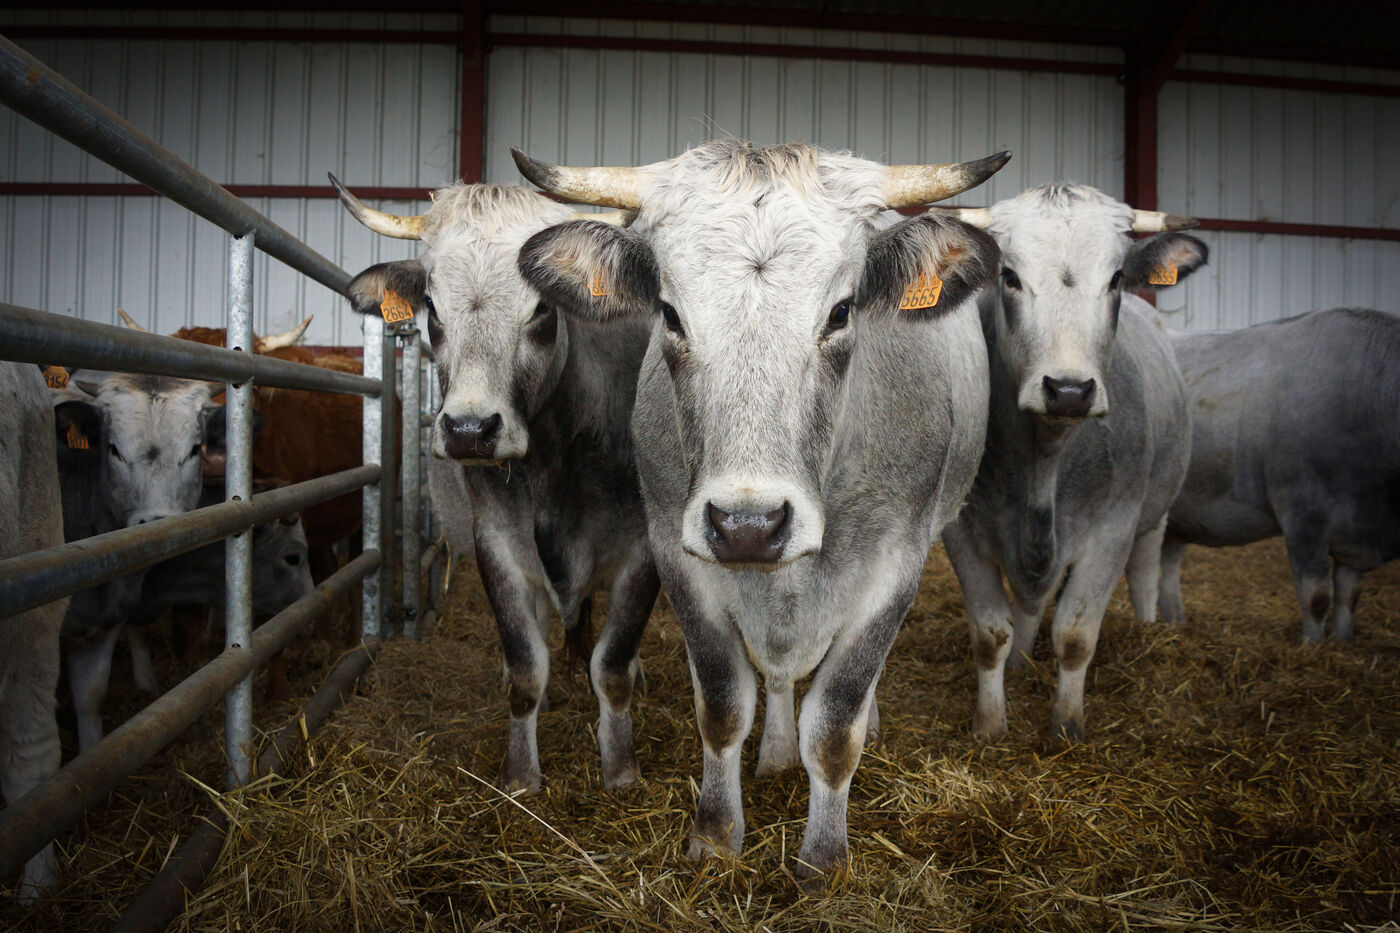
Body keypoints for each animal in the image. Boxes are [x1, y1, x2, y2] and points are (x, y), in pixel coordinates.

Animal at [330, 173, 660, 793]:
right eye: (432, 306)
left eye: (543, 308)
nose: (468, 430)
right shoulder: (497, 545)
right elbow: (527, 668)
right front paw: (520, 774)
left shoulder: (646, 552)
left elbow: (613, 667)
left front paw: (620, 768)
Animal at [511, 139, 1007, 887]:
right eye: (670, 313)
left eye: (841, 311)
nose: (750, 524)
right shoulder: (678, 553)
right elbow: (722, 707)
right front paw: (716, 836)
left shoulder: (895, 567)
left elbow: (835, 724)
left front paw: (823, 860)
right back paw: (773, 753)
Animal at [937, 185, 1204, 741]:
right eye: (1010, 276)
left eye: (1117, 277)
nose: (1068, 390)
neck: (1044, 459)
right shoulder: (964, 531)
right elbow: (990, 633)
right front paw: (990, 724)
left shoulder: (1111, 531)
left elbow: (1077, 635)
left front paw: (1066, 724)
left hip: (1155, 516)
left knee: (1145, 575)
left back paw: (1147, 630)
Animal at [1158, 307, 1400, 643]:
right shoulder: (1303, 514)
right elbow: (1316, 596)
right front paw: (1312, 647)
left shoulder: (1356, 534)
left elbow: (1349, 595)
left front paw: (1342, 641)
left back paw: (1174, 625)